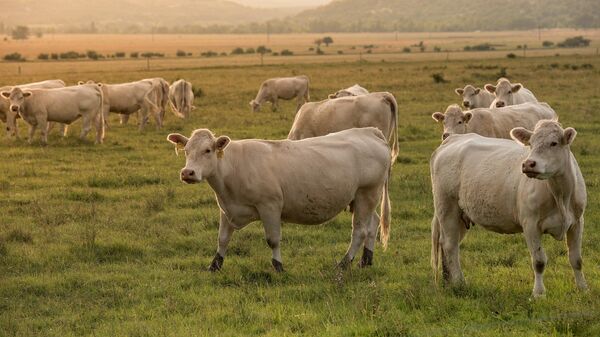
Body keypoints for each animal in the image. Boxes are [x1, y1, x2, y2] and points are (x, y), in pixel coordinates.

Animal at [166, 127, 392, 272]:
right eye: (186, 151)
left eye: (207, 150)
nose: (187, 173)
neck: (233, 166)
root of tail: (369, 131)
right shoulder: (227, 209)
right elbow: (222, 239)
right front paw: (214, 265)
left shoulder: (270, 206)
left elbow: (273, 240)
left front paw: (278, 266)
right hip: (363, 199)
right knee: (372, 225)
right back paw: (366, 260)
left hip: (366, 193)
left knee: (360, 231)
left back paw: (344, 263)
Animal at [428, 119, 588, 296]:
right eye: (530, 144)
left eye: (553, 143)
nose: (528, 164)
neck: (561, 196)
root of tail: (453, 139)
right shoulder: (530, 224)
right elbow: (539, 261)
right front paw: (538, 293)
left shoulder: (577, 222)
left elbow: (576, 259)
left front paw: (583, 288)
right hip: (447, 207)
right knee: (450, 245)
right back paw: (459, 283)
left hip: (461, 215)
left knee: (449, 244)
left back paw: (448, 281)